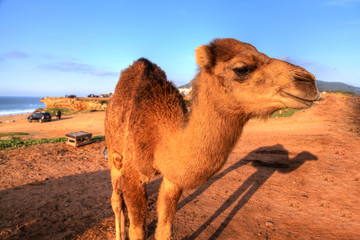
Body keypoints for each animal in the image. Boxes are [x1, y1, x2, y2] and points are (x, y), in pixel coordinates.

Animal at [104, 38, 320, 239]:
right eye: (241, 69)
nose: (308, 80)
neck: (159, 135)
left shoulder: (173, 180)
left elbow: (164, 230)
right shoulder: (133, 175)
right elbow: (137, 231)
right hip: (113, 152)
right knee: (116, 199)